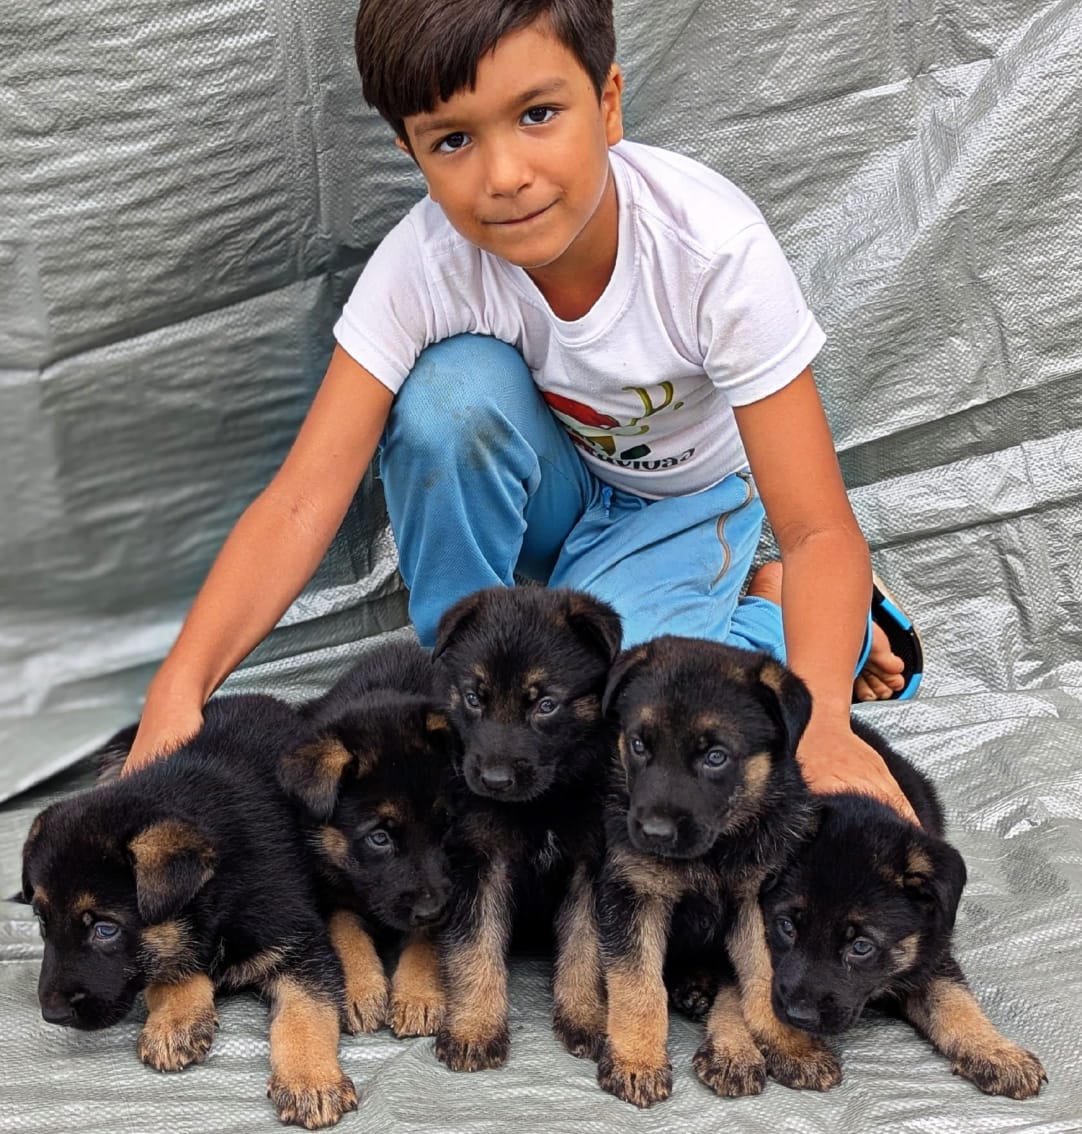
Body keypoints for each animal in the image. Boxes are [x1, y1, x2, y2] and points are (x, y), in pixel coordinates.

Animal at [21, 694, 356, 1129]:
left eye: (105, 930)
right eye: (42, 922)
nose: (52, 1014)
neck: (219, 884)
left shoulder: (300, 942)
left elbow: (307, 1011)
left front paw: (310, 1080)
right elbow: (170, 964)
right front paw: (176, 1018)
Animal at [277, 639, 455, 1038]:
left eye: (446, 825)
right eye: (379, 838)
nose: (433, 911)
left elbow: (428, 938)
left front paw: (418, 994)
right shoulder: (326, 890)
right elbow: (346, 933)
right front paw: (360, 990)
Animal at [428, 585, 621, 1070]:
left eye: (545, 705)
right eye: (474, 698)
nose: (494, 780)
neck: (542, 804)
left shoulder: (589, 866)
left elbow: (585, 946)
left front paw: (587, 1017)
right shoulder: (480, 861)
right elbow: (476, 945)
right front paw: (475, 1028)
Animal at [589, 639, 834, 1106]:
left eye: (715, 757)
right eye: (639, 745)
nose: (653, 833)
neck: (714, 853)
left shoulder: (757, 899)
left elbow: (762, 974)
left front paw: (791, 1045)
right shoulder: (633, 894)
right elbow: (638, 984)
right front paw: (637, 1059)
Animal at [757, 716, 1047, 1097]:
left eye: (861, 946)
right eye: (787, 927)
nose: (798, 1016)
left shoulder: (932, 949)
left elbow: (955, 1001)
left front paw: (997, 1052)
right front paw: (792, 1045)